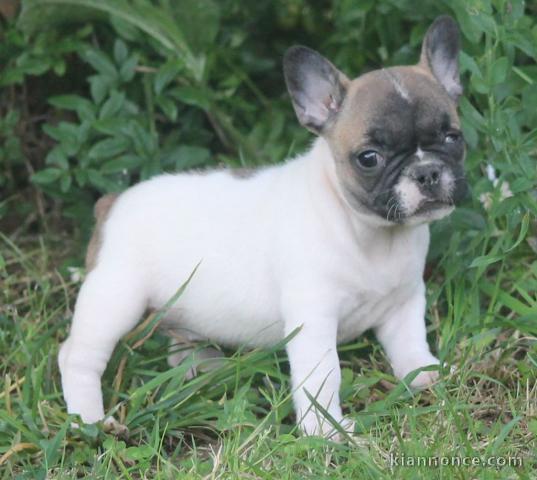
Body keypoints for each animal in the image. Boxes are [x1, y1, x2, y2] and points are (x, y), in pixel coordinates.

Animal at [59, 15, 464, 436]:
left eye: (453, 137)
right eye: (369, 158)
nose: (427, 172)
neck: (370, 233)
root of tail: (113, 202)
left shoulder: (403, 302)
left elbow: (411, 343)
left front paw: (425, 374)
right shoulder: (313, 318)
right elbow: (323, 374)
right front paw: (327, 432)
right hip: (114, 298)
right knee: (76, 356)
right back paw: (89, 419)